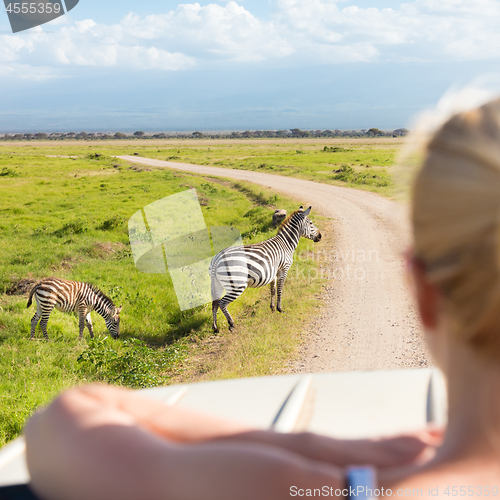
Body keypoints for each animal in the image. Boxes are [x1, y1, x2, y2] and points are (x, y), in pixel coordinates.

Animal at [210, 205, 320, 334]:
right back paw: (231, 324)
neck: (286, 244)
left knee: (215, 303)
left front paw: (272, 308)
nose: (320, 236)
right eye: (311, 223)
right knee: (222, 303)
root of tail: (217, 258)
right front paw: (280, 309)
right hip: (237, 285)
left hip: (217, 284)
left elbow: (272, 290)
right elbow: (280, 290)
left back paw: (215, 328)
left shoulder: (273, 273)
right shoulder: (283, 270)